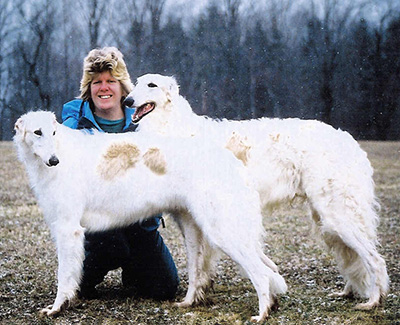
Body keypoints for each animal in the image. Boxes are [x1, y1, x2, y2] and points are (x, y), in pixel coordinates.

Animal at [13, 110, 288, 322]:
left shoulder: (68, 228)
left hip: (221, 230)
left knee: (260, 273)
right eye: (37, 132)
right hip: (192, 228)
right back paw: (188, 303)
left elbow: (64, 276)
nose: (54, 160)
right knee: (199, 274)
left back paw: (262, 313)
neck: (62, 152)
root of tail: (232, 161)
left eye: (53, 133)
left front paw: (56, 308)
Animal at [123, 74, 390, 308]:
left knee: (375, 259)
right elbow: (200, 264)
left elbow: (195, 265)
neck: (174, 127)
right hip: (327, 217)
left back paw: (372, 301)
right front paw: (196, 296)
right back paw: (349, 292)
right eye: (136, 83)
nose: (127, 101)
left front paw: (191, 299)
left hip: (338, 214)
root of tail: (348, 140)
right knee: (355, 257)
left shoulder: (196, 217)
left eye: (151, 85)